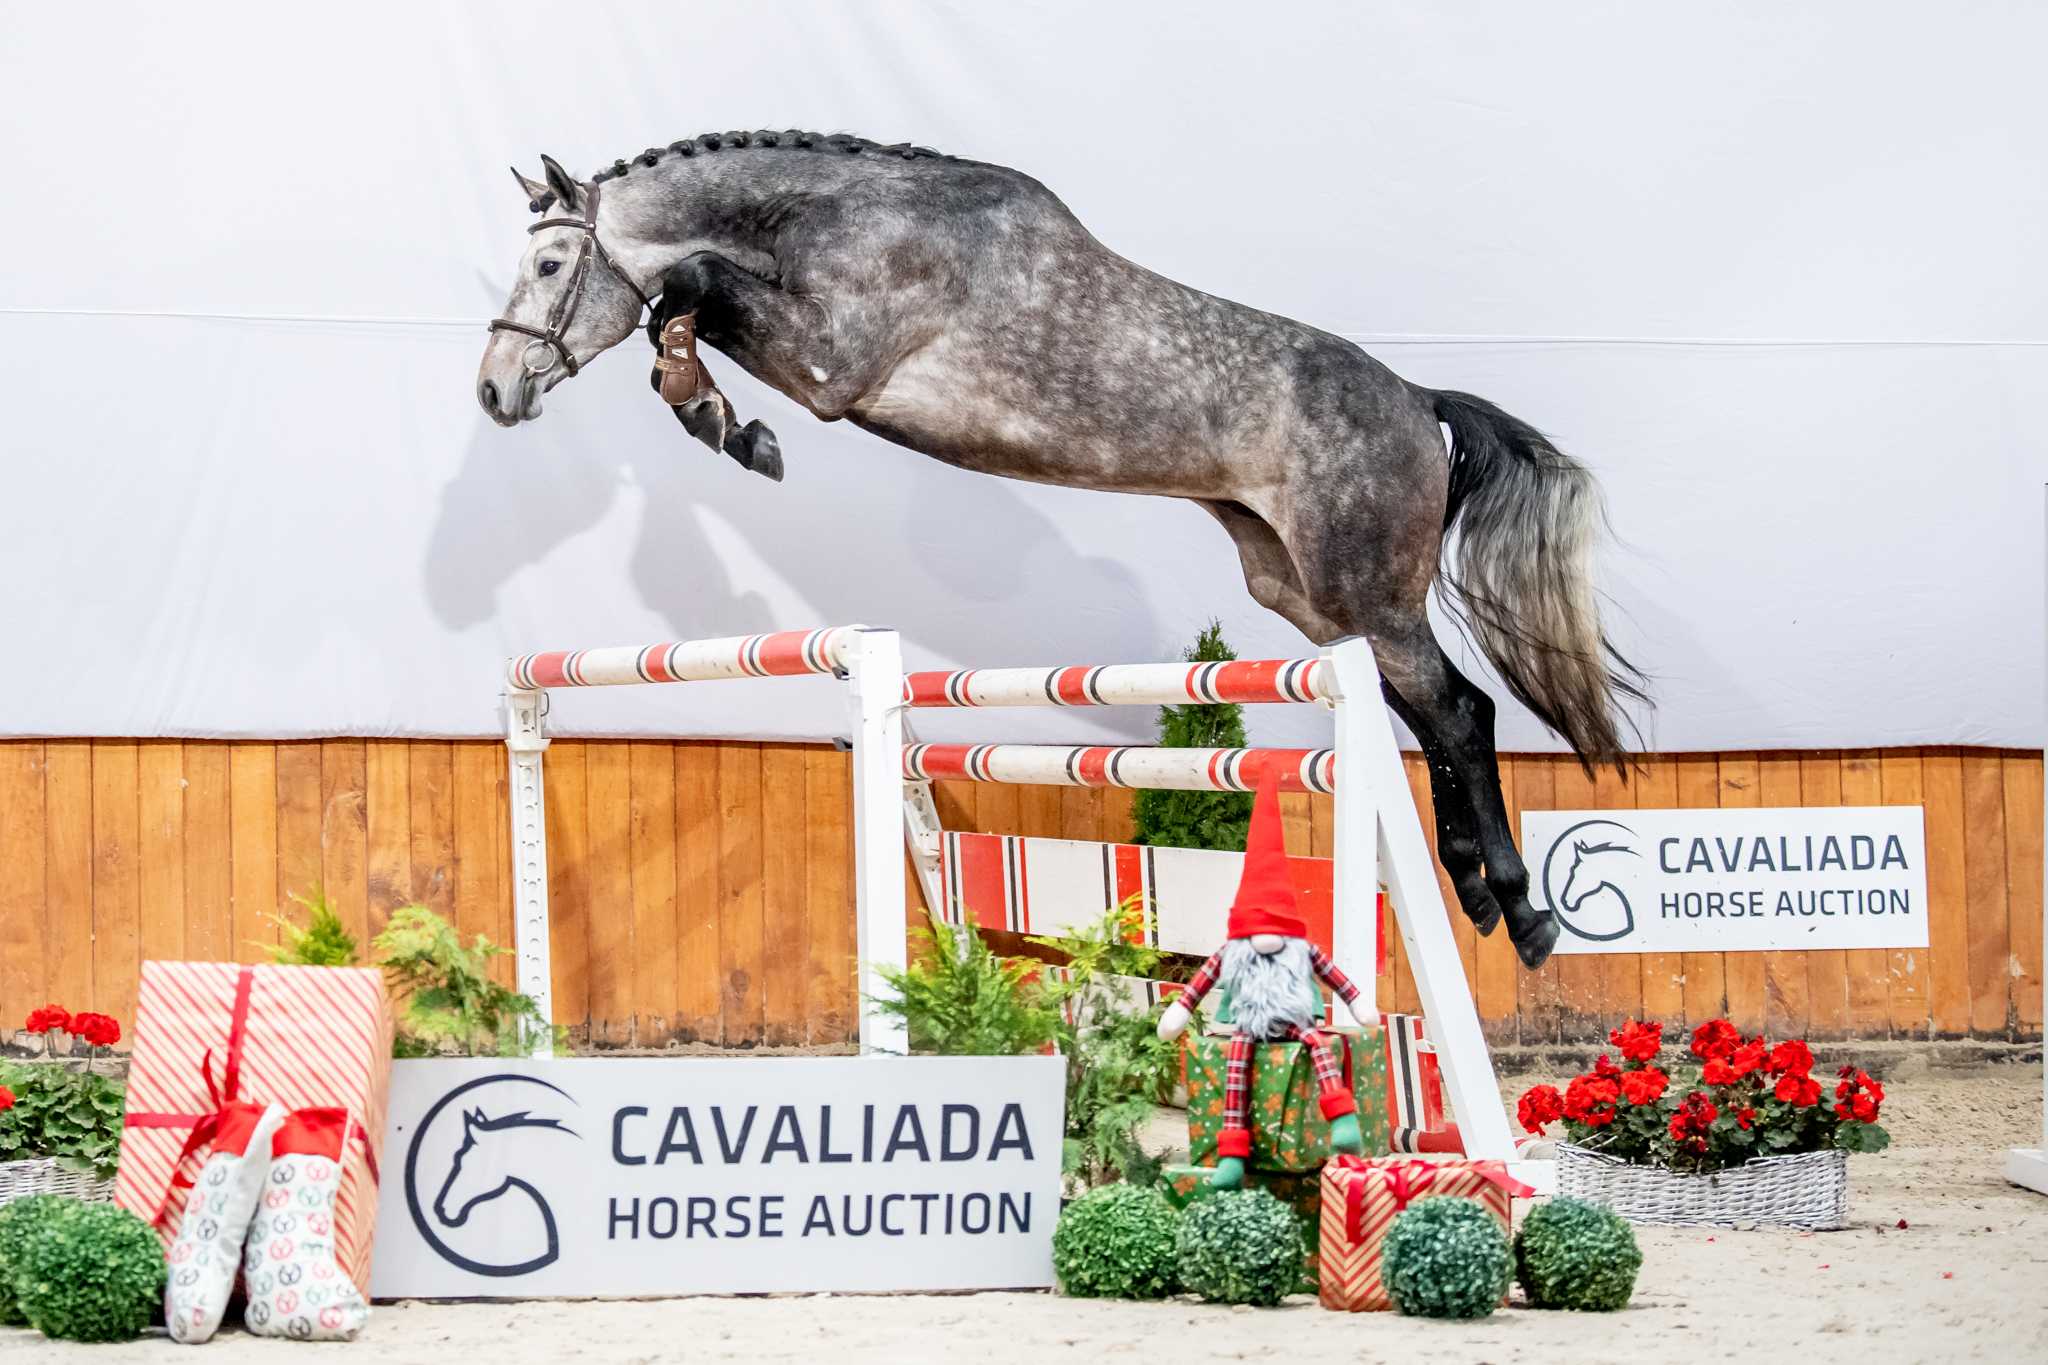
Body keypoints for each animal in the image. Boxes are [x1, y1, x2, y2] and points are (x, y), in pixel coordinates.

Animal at [476, 130, 1650, 968]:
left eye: (550, 262)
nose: (494, 392)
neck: (833, 218)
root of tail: (1415, 400)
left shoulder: (831, 365)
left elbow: (697, 283)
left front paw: (723, 418)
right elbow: (684, 302)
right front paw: (711, 410)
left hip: (1364, 589)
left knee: (1458, 709)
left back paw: (1519, 909)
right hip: (1306, 593)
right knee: (1431, 713)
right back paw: (1473, 889)